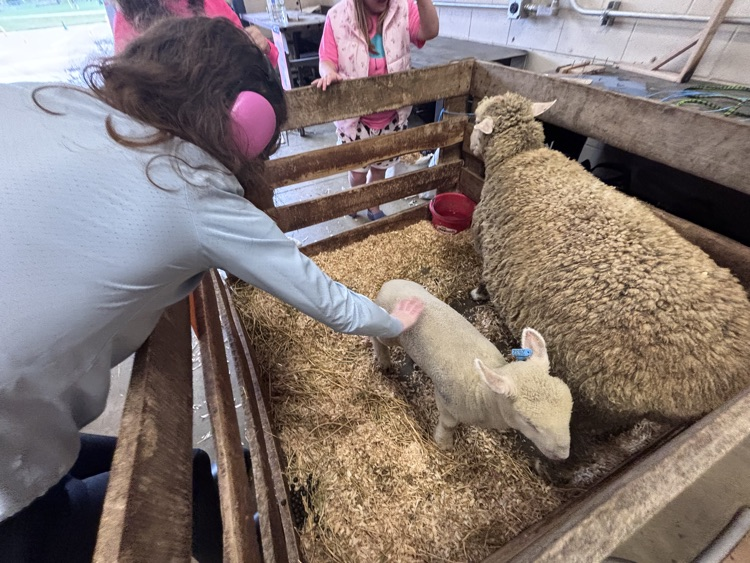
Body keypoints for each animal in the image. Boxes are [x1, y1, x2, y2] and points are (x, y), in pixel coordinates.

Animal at [372, 279, 573, 460]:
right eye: (529, 422)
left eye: (569, 412)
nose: (563, 455)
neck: (482, 393)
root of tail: (389, 284)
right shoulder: (445, 401)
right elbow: (448, 424)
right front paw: (443, 442)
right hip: (390, 331)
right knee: (378, 336)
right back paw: (384, 361)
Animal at [470, 92, 750, 432]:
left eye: (476, 120)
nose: (471, 143)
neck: (520, 156)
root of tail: (727, 375)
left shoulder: (488, 242)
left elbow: (485, 278)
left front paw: (477, 293)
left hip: (603, 396)